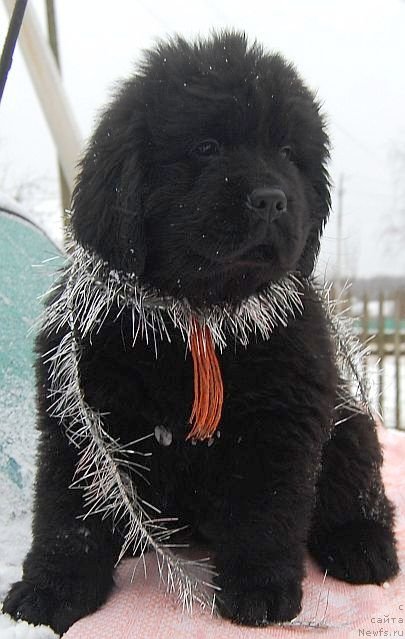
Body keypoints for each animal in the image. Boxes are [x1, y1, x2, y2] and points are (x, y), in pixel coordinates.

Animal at [3, 31, 398, 636]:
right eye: (206, 147)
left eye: (289, 154)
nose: (272, 200)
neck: (197, 314)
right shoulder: (82, 415)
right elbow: (70, 512)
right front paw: (51, 590)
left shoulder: (279, 418)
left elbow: (264, 509)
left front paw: (259, 591)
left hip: (346, 419)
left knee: (360, 492)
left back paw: (363, 547)